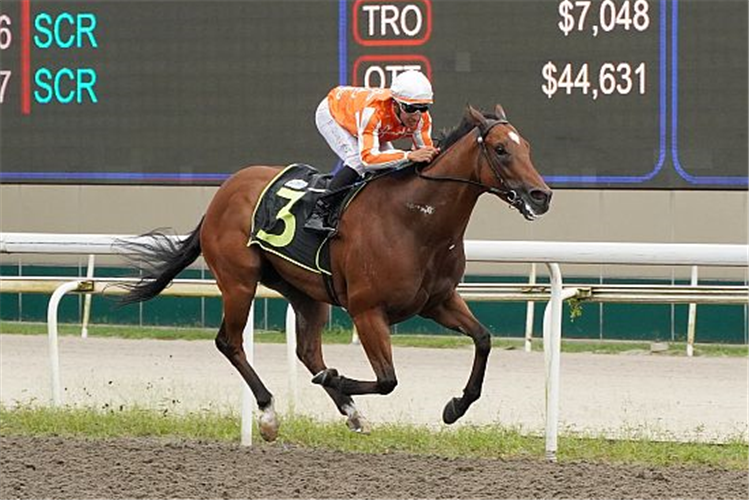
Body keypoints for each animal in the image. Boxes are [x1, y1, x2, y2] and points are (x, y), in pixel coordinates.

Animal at [117, 105, 548, 442]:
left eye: (527, 147)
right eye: (501, 149)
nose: (541, 195)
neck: (415, 221)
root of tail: (222, 193)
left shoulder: (438, 301)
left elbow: (484, 339)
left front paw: (456, 405)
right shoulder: (367, 310)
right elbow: (388, 379)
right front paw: (335, 379)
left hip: (303, 291)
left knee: (307, 350)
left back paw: (349, 410)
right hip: (238, 280)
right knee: (230, 342)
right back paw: (270, 414)